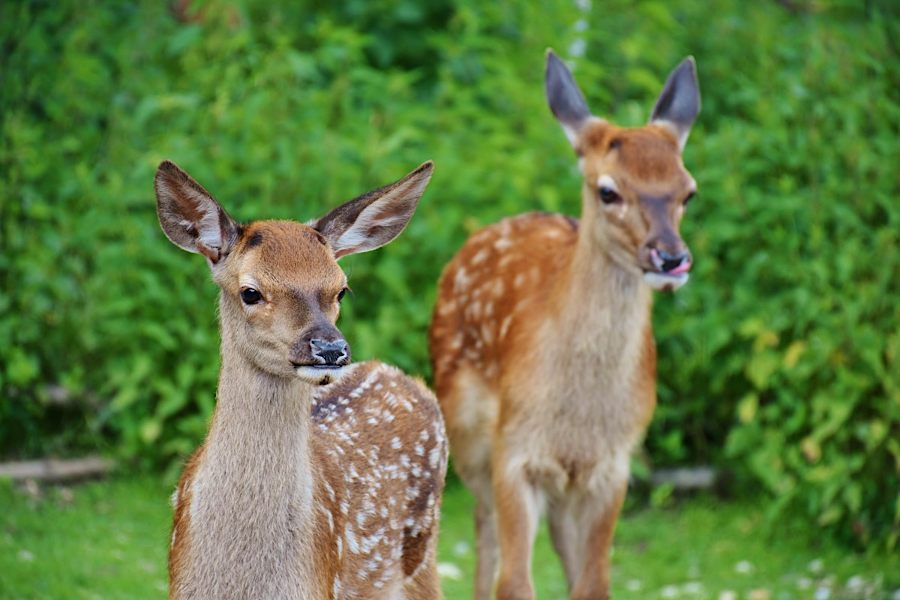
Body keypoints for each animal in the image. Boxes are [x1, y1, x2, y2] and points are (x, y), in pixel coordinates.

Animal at [428, 51, 704, 600]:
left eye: (688, 191)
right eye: (608, 191)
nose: (670, 258)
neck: (578, 415)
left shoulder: (613, 464)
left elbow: (594, 581)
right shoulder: (515, 451)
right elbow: (513, 581)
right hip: (467, 432)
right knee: (484, 530)